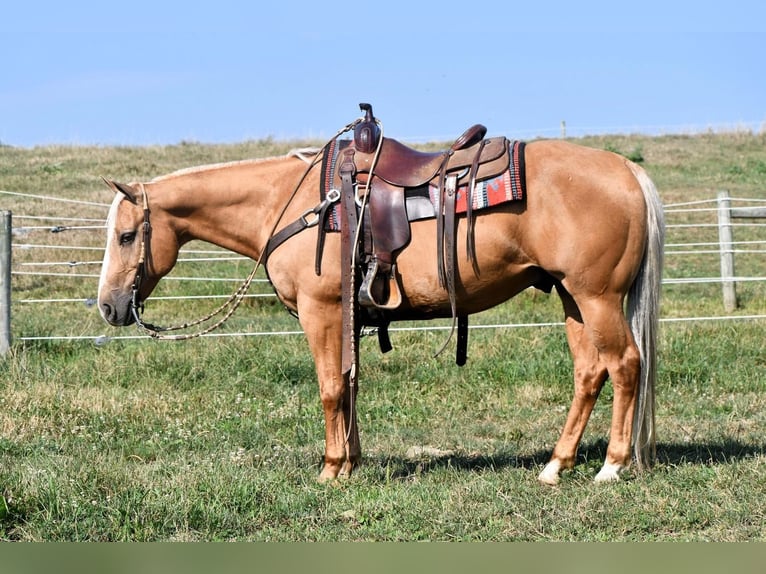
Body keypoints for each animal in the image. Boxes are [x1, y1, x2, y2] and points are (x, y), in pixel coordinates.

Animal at [97, 134, 664, 486]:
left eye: (125, 236)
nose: (108, 306)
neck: (289, 203)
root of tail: (626, 169)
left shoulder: (321, 312)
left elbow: (330, 387)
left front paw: (330, 469)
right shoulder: (347, 317)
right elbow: (349, 385)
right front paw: (351, 462)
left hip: (597, 298)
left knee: (625, 365)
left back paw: (611, 466)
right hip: (573, 298)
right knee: (589, 372)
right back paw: (556, 465)